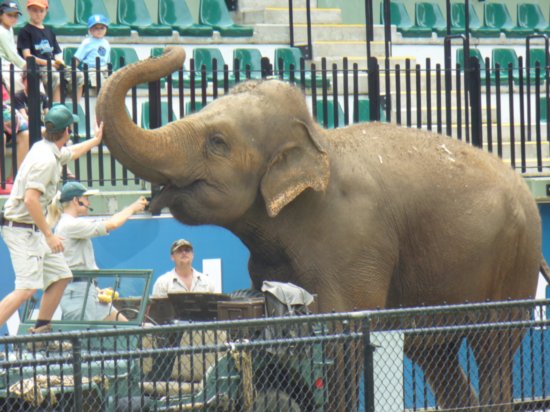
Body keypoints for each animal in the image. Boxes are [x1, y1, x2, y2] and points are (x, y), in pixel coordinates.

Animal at [96, 46, 544, 410]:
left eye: (217, 142)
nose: (173, 51)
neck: (318, 142)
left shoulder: (354, 240)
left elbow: (339, 332)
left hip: (514, 261)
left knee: (495, 345)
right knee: (435, 353)